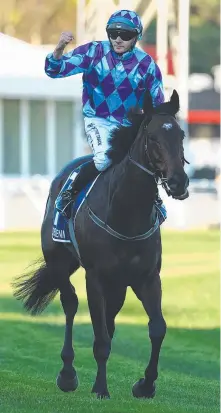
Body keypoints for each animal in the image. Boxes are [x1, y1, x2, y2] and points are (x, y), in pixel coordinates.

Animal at [13, 88, 190, 398]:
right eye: (152, 136)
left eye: (180, 135)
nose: (179, 182)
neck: (126, 214)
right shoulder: (95, 277)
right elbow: (101, 338)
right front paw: (101, 388)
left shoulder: (147, 277)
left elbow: (157, 328)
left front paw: (145, 384)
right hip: (59, 263)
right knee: (71, 304)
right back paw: (67, 374)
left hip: (117, 285)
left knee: (110, 318)